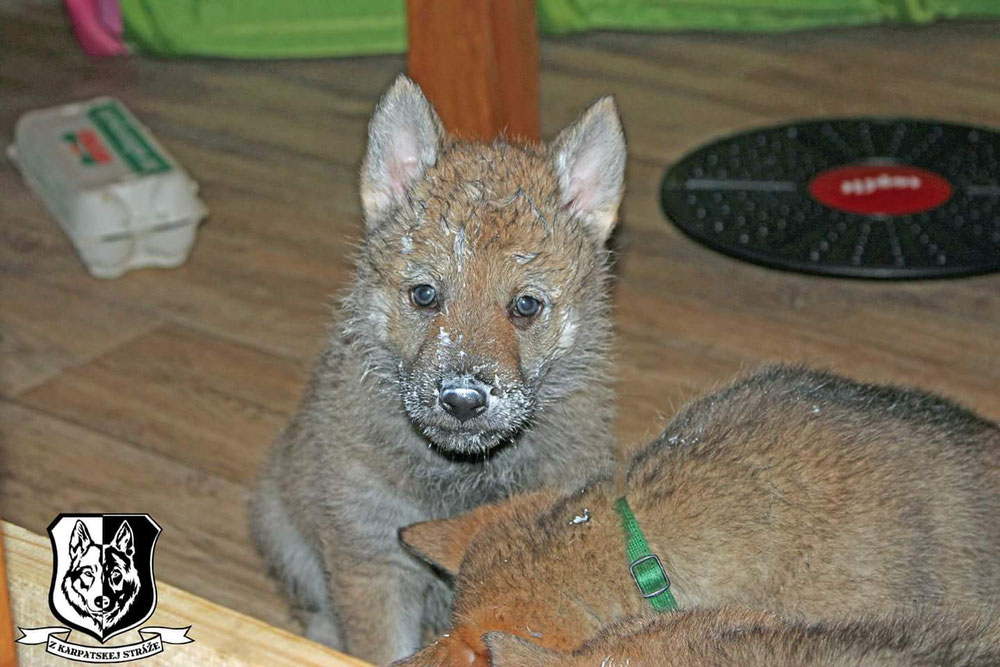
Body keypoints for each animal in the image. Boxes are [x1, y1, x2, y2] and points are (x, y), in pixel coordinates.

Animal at [250, 75, 624, 664]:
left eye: (526, 305)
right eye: (425, 295)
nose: (463, 399)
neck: (464, 477)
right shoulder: (374, 562)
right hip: (281, 525)